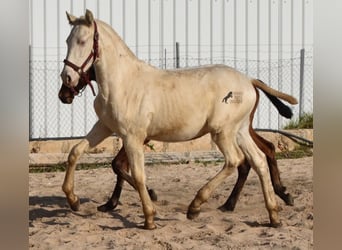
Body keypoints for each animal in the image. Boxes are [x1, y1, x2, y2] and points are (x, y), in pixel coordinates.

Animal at [60, 9, 296, 229]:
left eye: (82, 41)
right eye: (67, 40)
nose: (67, 80)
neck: (123, 83)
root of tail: (249, 81)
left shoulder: (133, 137)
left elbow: (137, 174)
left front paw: (149, 218)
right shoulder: (105, 127)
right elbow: (75, 152)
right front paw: (73, 200)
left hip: (222, 132)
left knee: (235, 160)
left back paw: (196, 206)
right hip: (240, 131)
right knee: (259, 161)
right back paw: (273, 215)